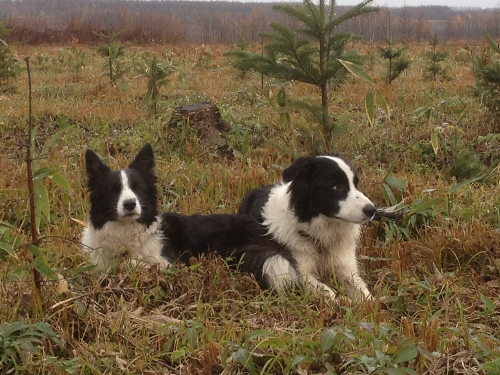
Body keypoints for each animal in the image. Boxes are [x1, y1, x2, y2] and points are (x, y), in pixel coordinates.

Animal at [81, 145, 278, 274]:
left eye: (138, 189)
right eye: (113, 191)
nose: (130, 204)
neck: (126, 233)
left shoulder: (170, 262)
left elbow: (130, 263)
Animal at [238, 156, 398, 302]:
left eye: (356, 183)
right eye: (336, 186)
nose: (371, 210)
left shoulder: (345, 266)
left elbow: (361, 289)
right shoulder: (301, 273)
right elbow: (328, 292)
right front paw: (342, 302)